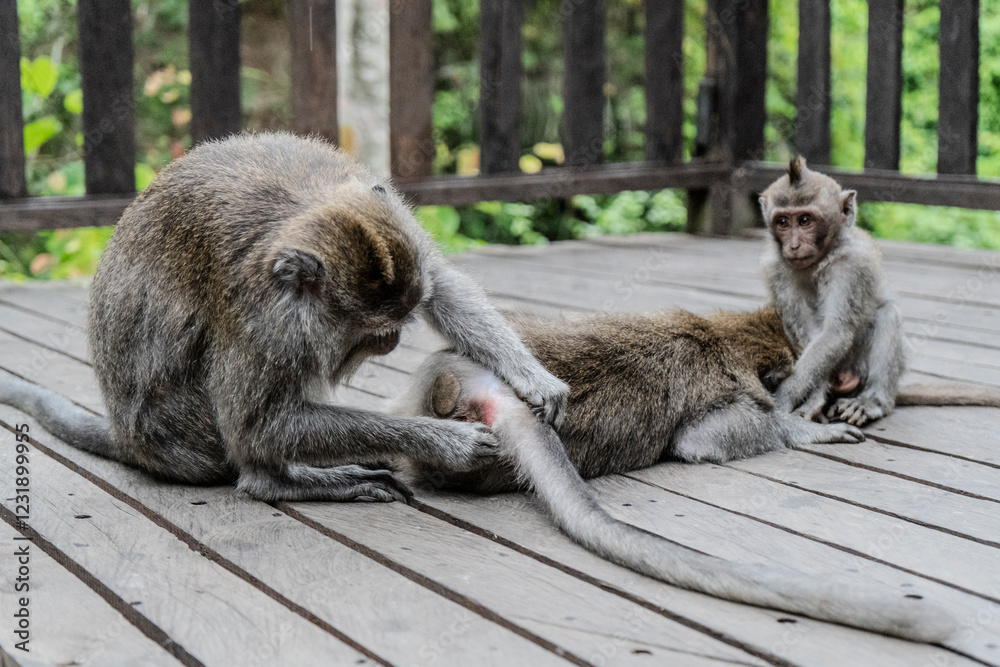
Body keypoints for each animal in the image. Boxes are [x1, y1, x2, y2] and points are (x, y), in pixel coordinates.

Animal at [0, 132, 569, 502]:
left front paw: (532, 377)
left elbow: (443, 286)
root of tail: (127, 439)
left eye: (399, 322)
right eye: (371, 330)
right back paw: (278, 482)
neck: (305, 208)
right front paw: (442, 441)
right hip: (179, 437)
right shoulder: (265, 318)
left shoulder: (400, 229)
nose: (389, 342)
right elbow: (255, 426)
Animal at [758, 157, 1000, 425]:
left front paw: (784, 398)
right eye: (782, 222)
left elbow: (835, 333)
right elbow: (812, 335)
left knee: (888, 314)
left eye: (804, 220)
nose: (794, 245)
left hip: (862, 369)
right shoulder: (777, 271)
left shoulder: (851, 265)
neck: (820, 259)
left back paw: (874, 401)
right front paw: (814, 396)